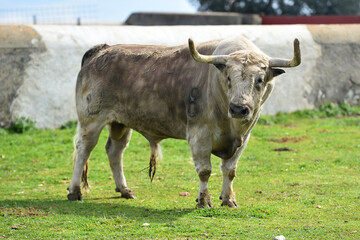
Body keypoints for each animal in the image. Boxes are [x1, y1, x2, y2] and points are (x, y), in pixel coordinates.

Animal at [67, 36, 300, 207]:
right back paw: (75, 191)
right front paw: (203, 201)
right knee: (83, 150)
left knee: (115, 151)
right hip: (91, 120)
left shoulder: (244, 138)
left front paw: (228, 199)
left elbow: (230, 170)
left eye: (259, 80)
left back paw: (124, 190)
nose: (238, 108)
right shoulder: (199, 135)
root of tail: (101, 50)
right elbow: (205, 171)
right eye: (228, 78)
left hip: (120, 123)